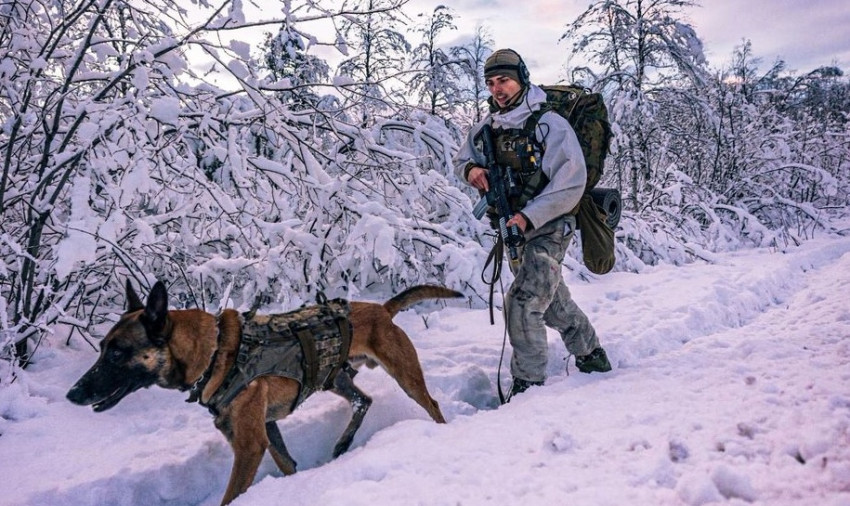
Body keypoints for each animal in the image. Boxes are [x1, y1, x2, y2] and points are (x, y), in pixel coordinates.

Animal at [68, 278, 460, 504]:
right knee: (364, 400)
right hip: (335, 379)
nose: (73, 394)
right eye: (101, 347)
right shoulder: (267, 429)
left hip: (406, 377)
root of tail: (381, 308)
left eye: (117, 353)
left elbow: (230, 497)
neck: (213, 352)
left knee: (431, 404)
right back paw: (342, 443)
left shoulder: (249, 444)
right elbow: (288, 463)